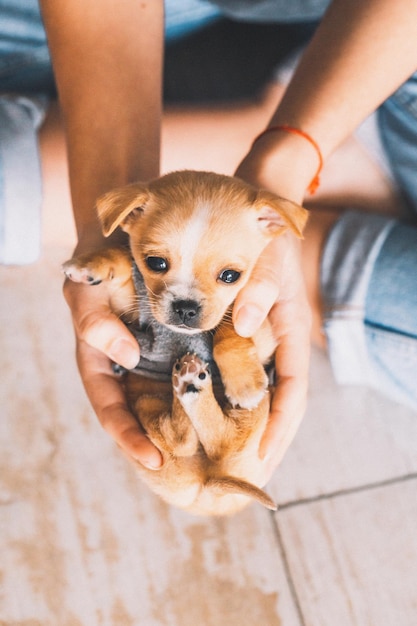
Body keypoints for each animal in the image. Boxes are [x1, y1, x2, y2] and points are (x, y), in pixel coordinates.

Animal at [62, 169, 306, 512]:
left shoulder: (258, 322)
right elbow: (123, 261)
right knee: (182, 438)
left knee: (219, 440)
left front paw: (243, 380)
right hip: (148, 408)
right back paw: (187, 386)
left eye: (231, 276)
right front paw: (89, 264)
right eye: (155, 263)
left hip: (257, 412)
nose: (186, 308)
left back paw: (191, 385)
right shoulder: (133, 306)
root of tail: (205, 483)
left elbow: (230, 327)